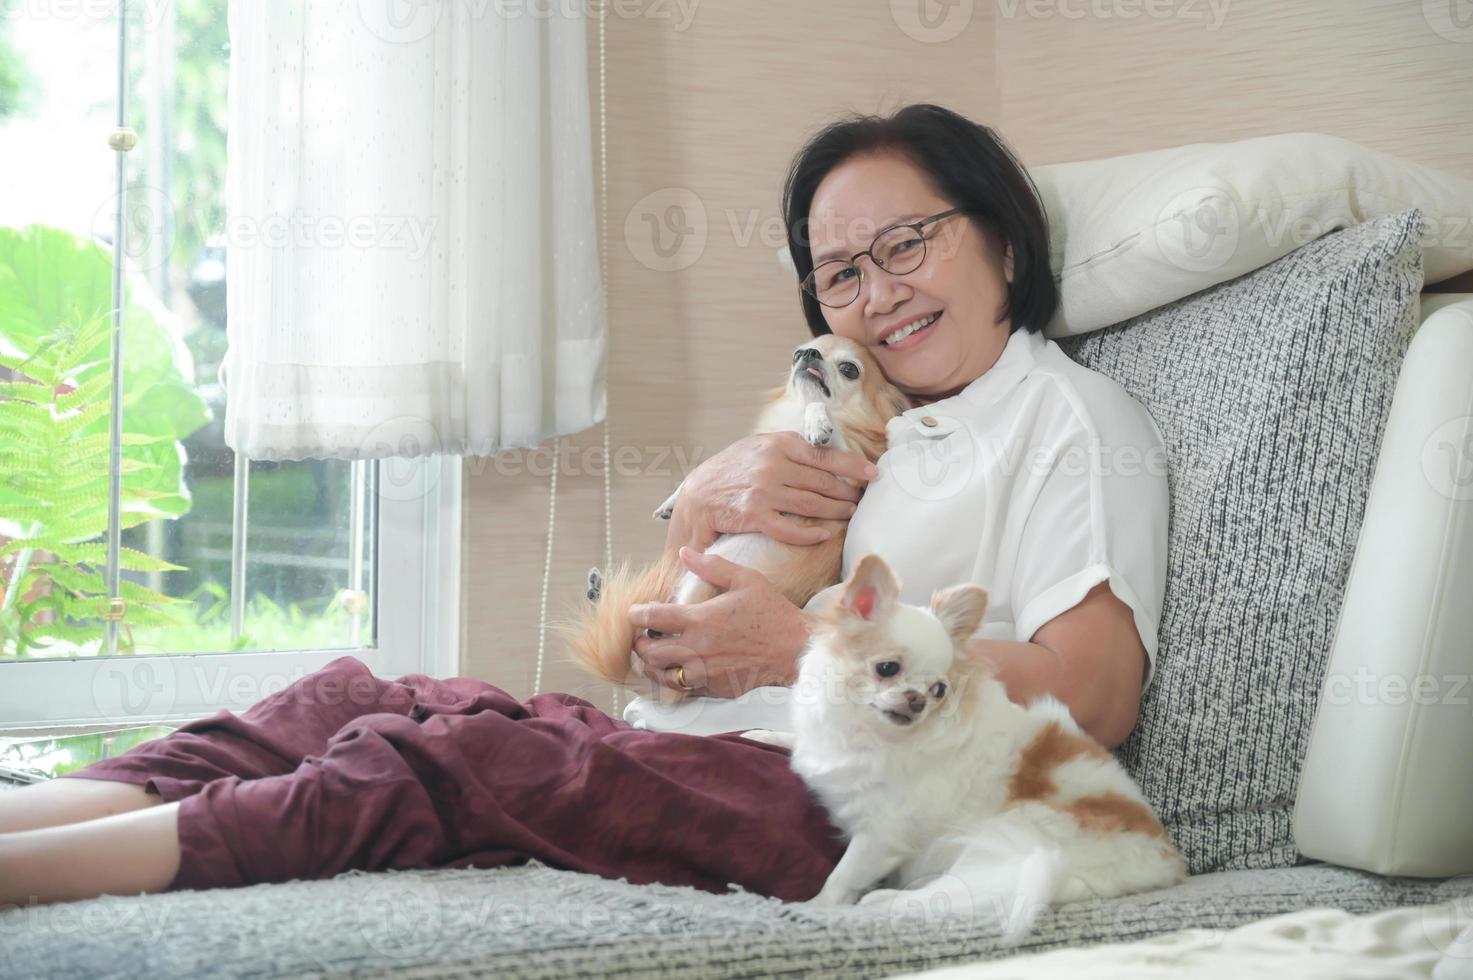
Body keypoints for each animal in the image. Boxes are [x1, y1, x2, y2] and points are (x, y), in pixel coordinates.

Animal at [562, 333, 907, 698]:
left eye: (849, 369)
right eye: (798, 354)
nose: (809, 354)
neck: (791, 420)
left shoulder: (847, 474)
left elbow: (822, 413)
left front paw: (818, 423)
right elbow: (703, 469)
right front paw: (672, 501)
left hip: (703, 575)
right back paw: (599, 592)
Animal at [748, 554, 1184, 943]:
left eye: (939, 690)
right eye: (887, 668)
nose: (917, 700)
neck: (869, 735)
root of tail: (1165, 861)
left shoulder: (882, 833)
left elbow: (843, 875)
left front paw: (814, 907)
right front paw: (765, 736)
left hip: (1012, 840)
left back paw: (882, 899)